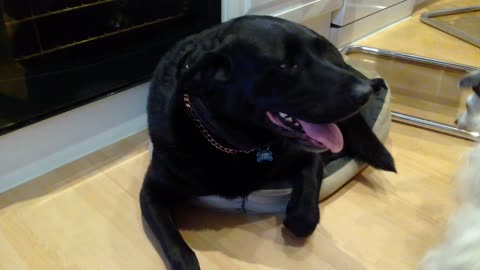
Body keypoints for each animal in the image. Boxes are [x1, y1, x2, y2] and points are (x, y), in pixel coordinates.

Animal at [141, 15, 396, 270]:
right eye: (287, 65)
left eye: (319, 53)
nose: (364, 94)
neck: (235, 146)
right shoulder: (151, 191)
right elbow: (175, 246)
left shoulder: (307, 156)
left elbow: (307, 206)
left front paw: (296, 215)